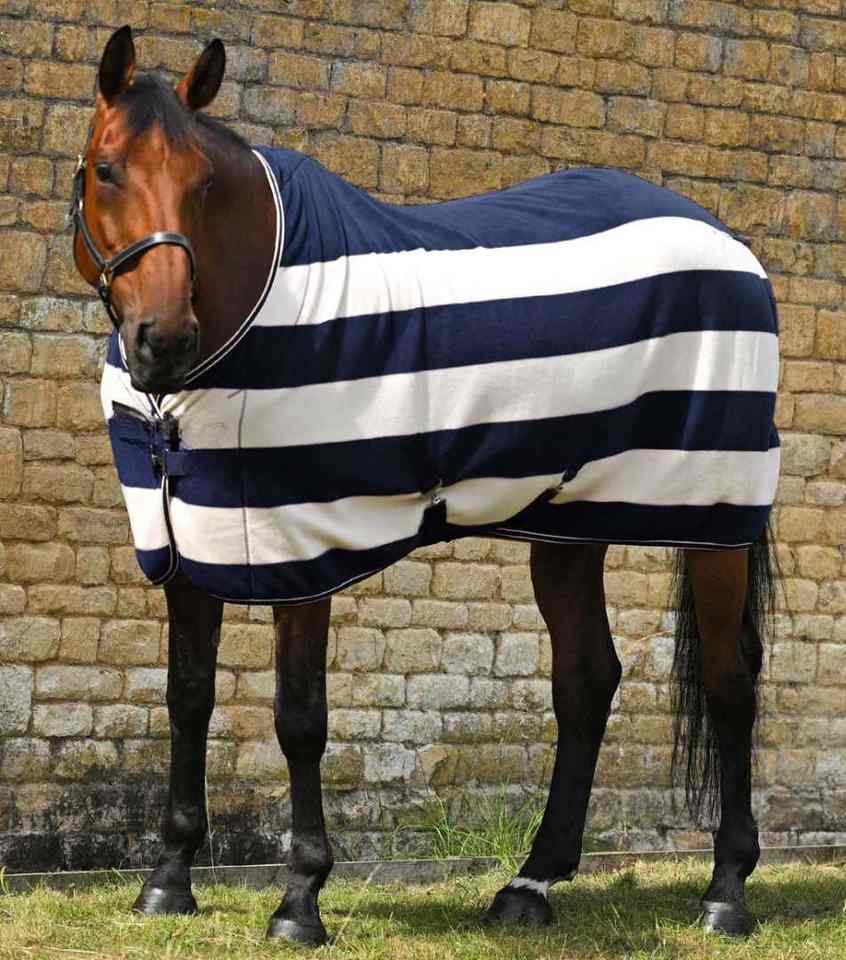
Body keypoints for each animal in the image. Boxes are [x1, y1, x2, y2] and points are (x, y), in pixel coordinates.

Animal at [71, 26, 780, 946]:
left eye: (204, 183)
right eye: (106, 169)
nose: (163, 341)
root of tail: (730, 244)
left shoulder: (303, 546)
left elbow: (299, 718)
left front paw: (300, 899)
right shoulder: (187, 541)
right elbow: (187, 697)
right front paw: (168, 879)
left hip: (713, 515)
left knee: (730, 680)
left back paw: (726, 891)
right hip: (570, 521)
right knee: (587, 679)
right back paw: (530, 885)